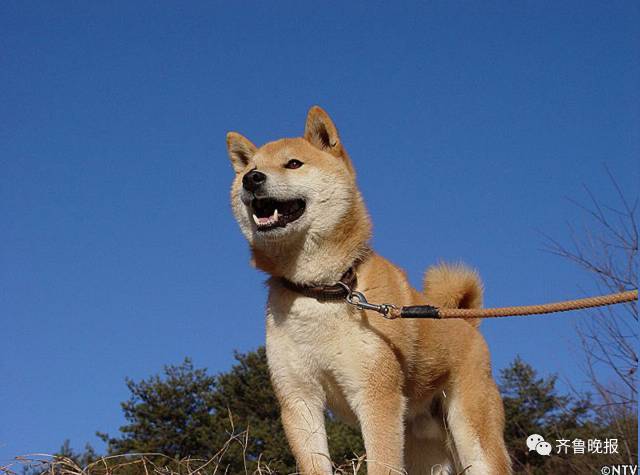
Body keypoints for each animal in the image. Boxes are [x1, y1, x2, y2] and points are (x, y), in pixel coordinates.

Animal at [225, 106, 510, 474]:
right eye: (250, 169)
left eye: (293, 163)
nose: (252, 179)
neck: (324, 289)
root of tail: (466, 321)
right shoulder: (299, 399)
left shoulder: (376, 396)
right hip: (423, 447)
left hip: (472, 431)